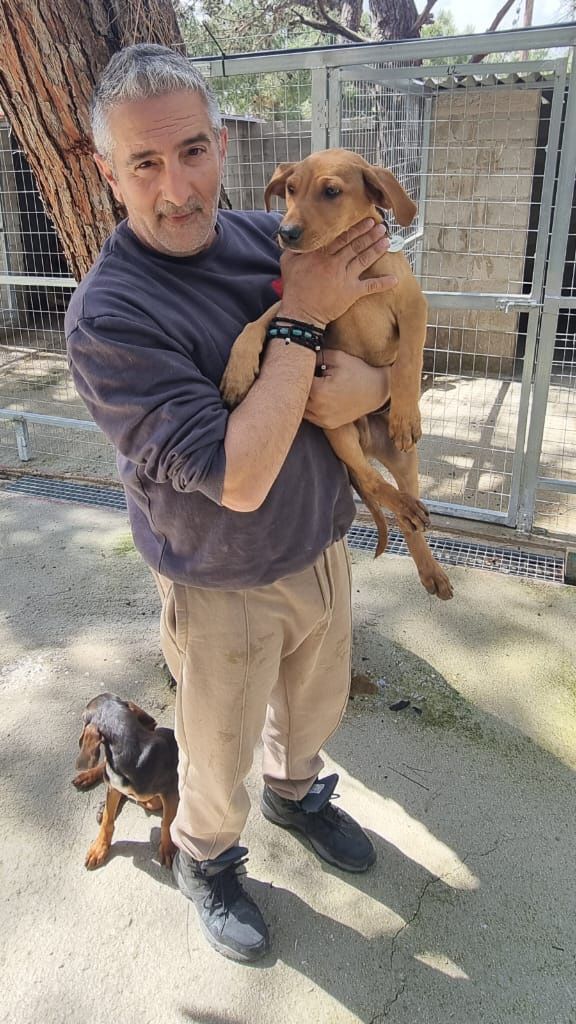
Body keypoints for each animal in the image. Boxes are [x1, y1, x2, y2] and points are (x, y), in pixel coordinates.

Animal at [72, 693, 179, 870]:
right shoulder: (113, 787)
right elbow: (107, 820)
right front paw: (99, 848)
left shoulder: (170, 793)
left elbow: (167, 822)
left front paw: (168, 848)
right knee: (104, 768)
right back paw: (87, 778)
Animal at [220, 148, 453, 600]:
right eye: (291, 189)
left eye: (331, 192)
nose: (285, 233)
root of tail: (367, 438)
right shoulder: (301, 307)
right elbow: (259, 320)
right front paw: (238, 372)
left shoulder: (414, 306)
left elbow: (408, 362)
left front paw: (406, 415)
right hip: (339, 434)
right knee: (371, 481)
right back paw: (404, 509)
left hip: (406, 460)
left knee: (404, 512)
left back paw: (430, 566)